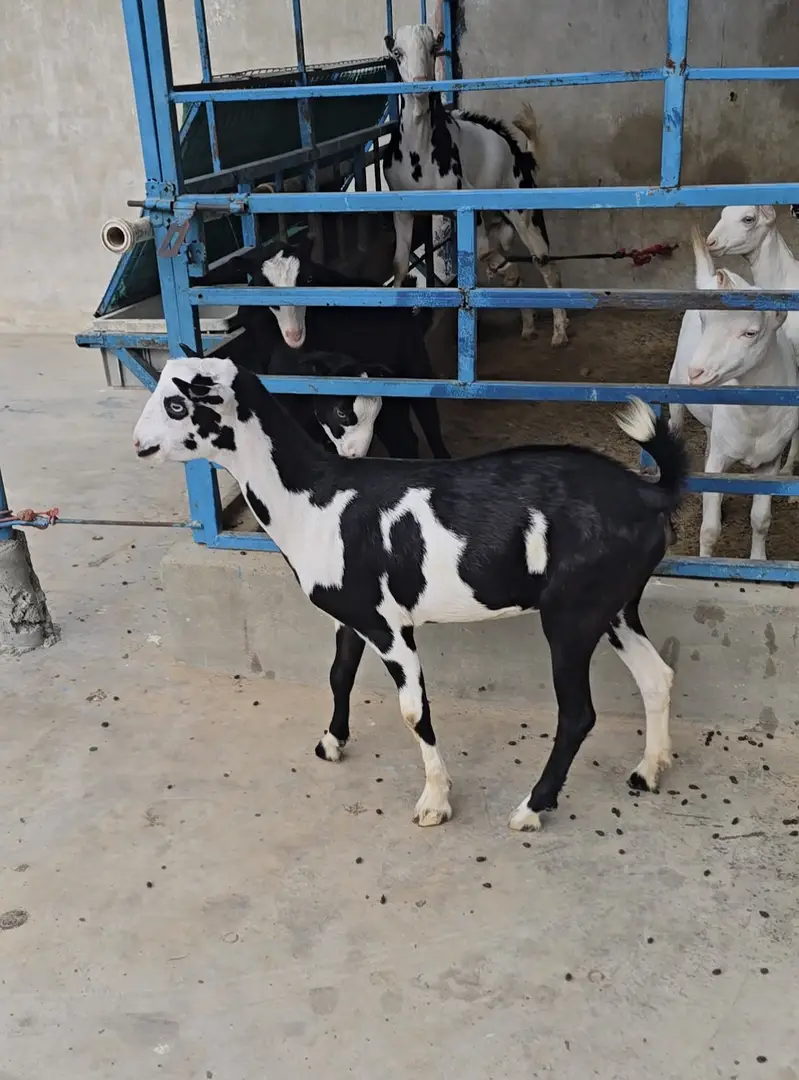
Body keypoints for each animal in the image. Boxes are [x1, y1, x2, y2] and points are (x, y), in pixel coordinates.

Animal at [134, 355, 686, 833]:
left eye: (177, 404)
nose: (139, 444)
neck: (314, 498)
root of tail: (647, 493)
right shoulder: (351, 614)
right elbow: (339, 673)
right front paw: (331, 742)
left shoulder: (389, 625)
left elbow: (413, 711)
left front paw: (435, 801)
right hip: (615, 604)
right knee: (656, 676)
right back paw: (649, 770)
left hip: (572, 613)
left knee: (577, 715)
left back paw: (532, 806)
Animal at [382, 23, 568, 348]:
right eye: (397, 52)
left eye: (434, 48)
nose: (420, 87)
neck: (420, 152)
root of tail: (520, 153)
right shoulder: (402, 211)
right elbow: (400, 264)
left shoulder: (467, 207)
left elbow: (482, 253)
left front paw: (505, 272)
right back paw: (528, 325)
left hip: (525, 214)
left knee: (546, 264)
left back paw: (559, 330)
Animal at [668, 228, 797, 561]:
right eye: (705, 321)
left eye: (750, 333)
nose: (696, 372)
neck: (755, 417)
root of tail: (710, 278)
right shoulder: (720, 458)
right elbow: (709, 529)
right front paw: (704, 563)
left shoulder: (770, 462)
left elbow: (761, 520)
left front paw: (758, 561)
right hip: (675, 391)